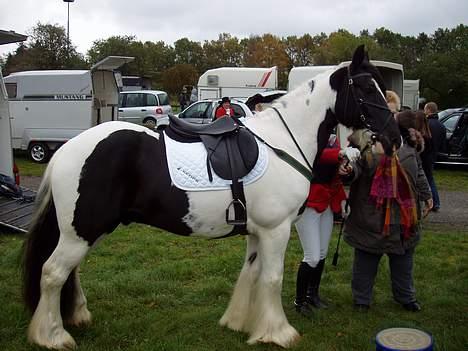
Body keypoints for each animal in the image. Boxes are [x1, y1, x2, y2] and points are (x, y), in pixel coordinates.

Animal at [22, 46, 400, 350]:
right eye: (366, 87)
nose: (394, 137)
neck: (283, 142)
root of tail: (67, 150)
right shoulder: (276, 230)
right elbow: (272, 278)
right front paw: (277, 333)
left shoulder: (257, 232)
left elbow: (251, 273)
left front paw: (240, 323)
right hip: (82, 230)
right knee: (53, 273)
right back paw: (52, 335)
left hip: (87, 230)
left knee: (70, 272)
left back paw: (76, 316)